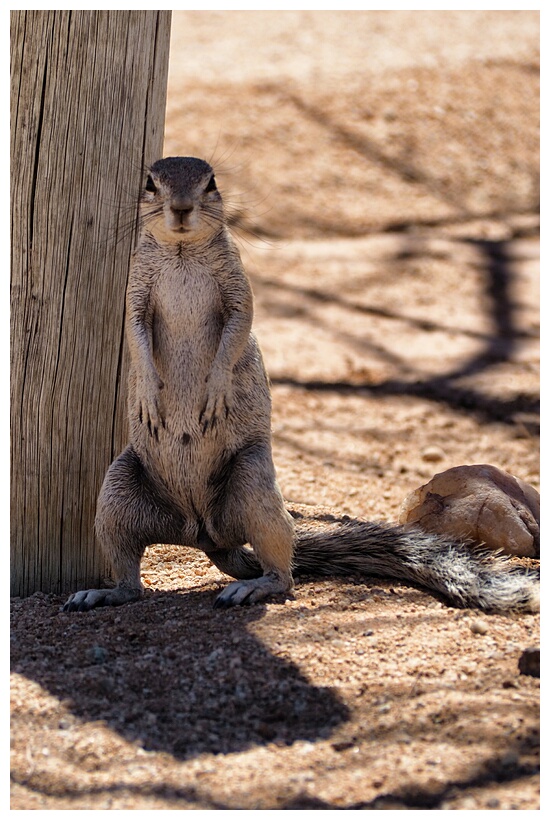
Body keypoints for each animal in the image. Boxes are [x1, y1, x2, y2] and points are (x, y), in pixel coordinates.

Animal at [63, 157, 540, 612]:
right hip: (117, 494)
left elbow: (237, 330)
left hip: (253, 484)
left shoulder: (238, 289)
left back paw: (252, 587)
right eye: (150, 183)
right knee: (131, 578)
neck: (182, 250)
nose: (180, 208)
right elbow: (136, 336)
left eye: (211, 182)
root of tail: (203, 533)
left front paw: (215, 390)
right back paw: (101, 594)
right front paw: (148, 393)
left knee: (284, 573)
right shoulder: (136, 293)